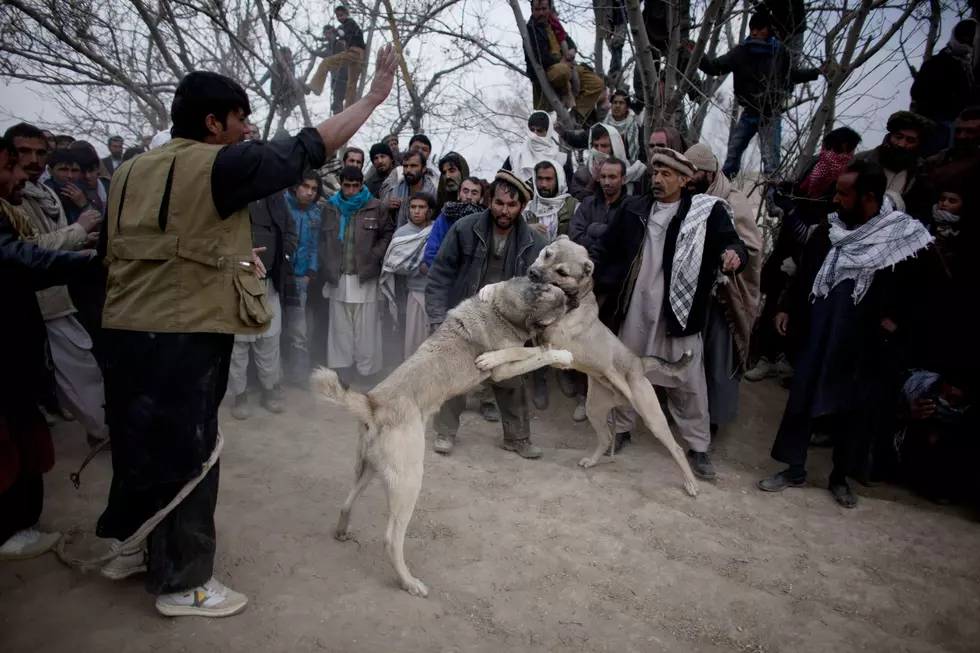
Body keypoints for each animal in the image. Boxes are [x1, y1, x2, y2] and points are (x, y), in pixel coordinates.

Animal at [314, 276, 576, 596]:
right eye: (556, 312)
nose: (573, 302)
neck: (501, 308)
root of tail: (374, 404)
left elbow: (529, 350)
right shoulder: (505, 369)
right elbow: (531, 353)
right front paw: (560, 355)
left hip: (370, 468)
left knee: (347, 502)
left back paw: (342, 531)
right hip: (409, 481)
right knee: (391, 540)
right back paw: (409, 583)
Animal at [480, 237, 696, 496]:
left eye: (562, 272)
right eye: (546, 254)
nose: (532, 273)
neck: (570, 301)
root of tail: (640, 363)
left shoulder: (552, 348)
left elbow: (517, 351)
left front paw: (491, 358)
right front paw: (489, 288)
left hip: (653, 417)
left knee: (676, 448)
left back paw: (691, 483)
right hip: (594, 408)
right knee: (605, 438)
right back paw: (592, 462)